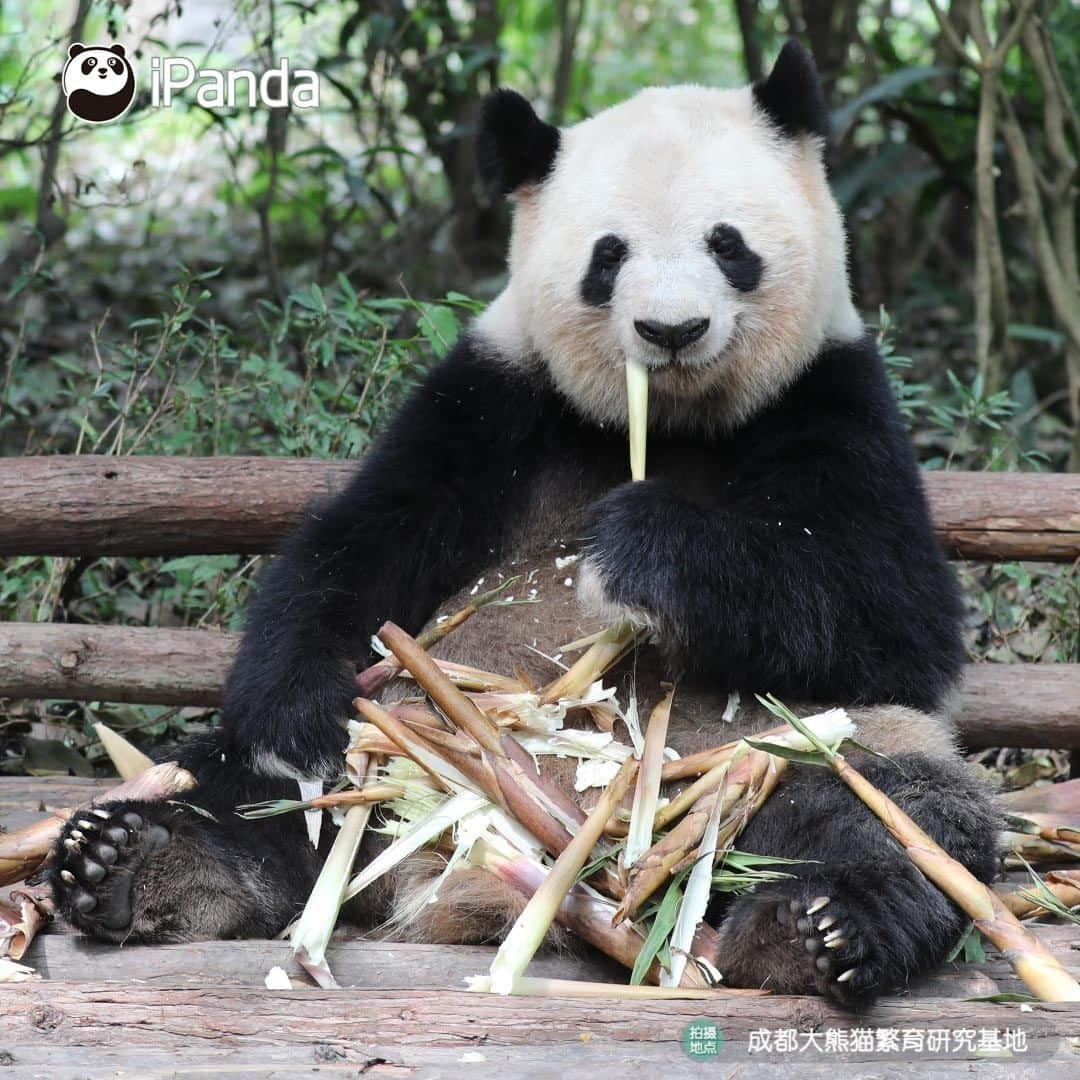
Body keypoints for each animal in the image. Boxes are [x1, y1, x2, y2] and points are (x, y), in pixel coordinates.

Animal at [48, 39, 993, 1002]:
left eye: (728, 244)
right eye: (608, 256)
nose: (673, 330)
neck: (670, 424)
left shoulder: (832, 401)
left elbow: (893, 616)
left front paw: (639, 548)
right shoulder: (494, 400)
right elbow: (359, 551)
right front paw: (295, 717)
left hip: (769, 756)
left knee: (894, 812)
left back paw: (816, 928)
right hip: (392, 747)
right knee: (247, 791)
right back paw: (136, 863)